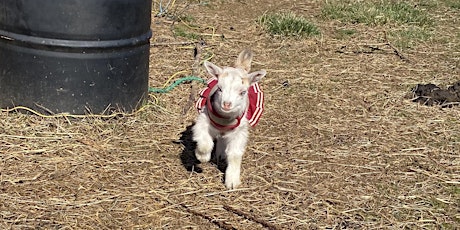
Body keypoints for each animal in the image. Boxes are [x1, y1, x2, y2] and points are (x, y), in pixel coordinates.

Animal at [193, 49, 266, 189]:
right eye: (220, 89)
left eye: (243, 92)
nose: (226, 104)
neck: (225, 118)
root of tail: (239, 67)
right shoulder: (203, 119)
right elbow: (205, 142)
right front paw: (202, 157)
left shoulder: (240, 131)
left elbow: (235, 154)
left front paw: (232, 181)